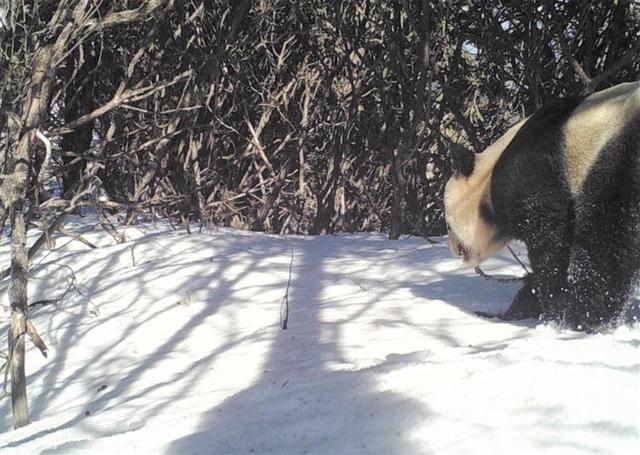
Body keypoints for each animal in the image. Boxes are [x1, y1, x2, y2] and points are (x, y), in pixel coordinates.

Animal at [444, 81, 640, 332]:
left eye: (449, 224)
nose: (452, 247)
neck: (488, 178)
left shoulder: (535, 178)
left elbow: (551, 244)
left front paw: (557, 312)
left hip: (618, 159)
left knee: (606, 239)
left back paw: (584, 318)